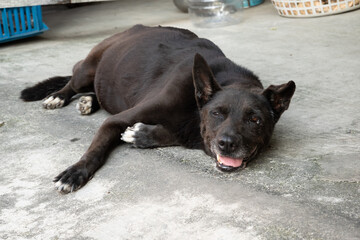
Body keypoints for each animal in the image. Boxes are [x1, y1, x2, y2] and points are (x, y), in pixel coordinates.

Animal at [20, 24, 296, 193]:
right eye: (217, 113)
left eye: (255, 120)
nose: (227, 144)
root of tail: (131, 29)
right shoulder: (115, 121)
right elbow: (96, 149)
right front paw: (75, 172)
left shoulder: (189, 132)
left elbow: (174, 133)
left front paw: (141, 135)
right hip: (87, 69)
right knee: (73, 81)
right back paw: (58, 96)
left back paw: (89, 101)